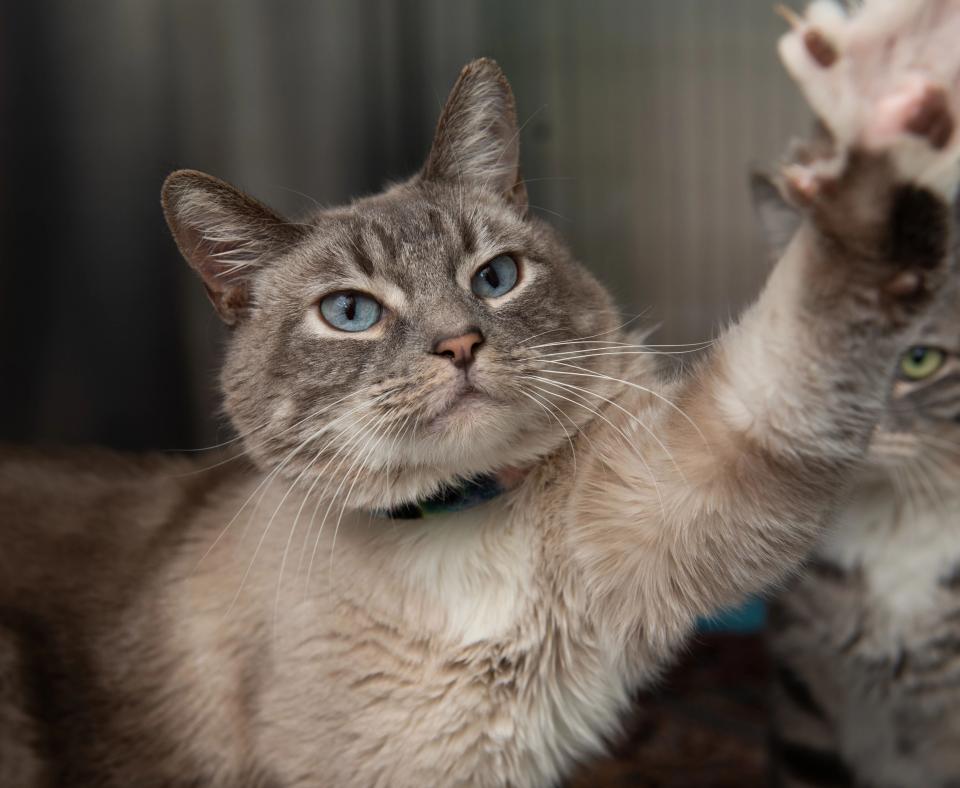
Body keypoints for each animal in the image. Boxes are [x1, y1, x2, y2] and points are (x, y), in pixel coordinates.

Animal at [5, 3, 960, 784]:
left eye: (495, 277)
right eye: (350, 313)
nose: (460, 343)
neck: (452, 527)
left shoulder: (698, 481)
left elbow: (802, 332)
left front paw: (886, 91)